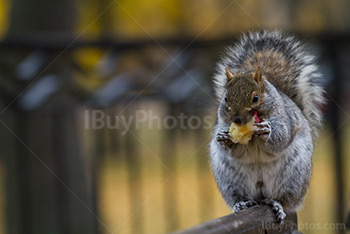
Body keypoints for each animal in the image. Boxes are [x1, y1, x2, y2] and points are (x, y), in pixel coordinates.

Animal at [208, 30, 326, 222]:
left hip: (293, 177)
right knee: (241, 197)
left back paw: (276, 204)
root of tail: (260, 189)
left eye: (255, 98)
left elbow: (281, 137)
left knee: (283, 199)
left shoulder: (285, 119)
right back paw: (241, 204)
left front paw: (266, 131)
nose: (237, 119)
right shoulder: (223, 122)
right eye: (226, 98)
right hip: (230, 180)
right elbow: (232, 148)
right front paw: (224, 137)